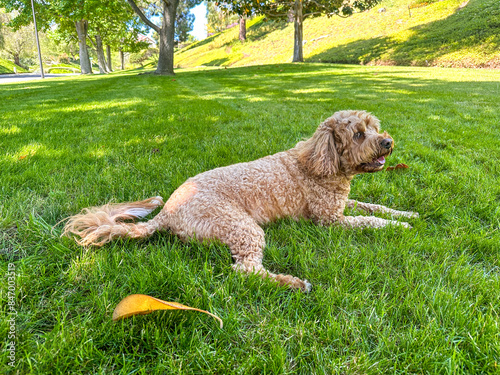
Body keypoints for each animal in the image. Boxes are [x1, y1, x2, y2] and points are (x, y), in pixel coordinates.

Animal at [64, 110, 420, 292]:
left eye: (374, 127)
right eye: (359, 134)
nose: (387, 142)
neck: (320, 162)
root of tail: (166, 213)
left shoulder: (342, 205)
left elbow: (373, 207)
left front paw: (407, 214)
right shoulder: (330, 221)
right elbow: (369, 220)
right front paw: (398, 227)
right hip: (240, 226)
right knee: (245, 271)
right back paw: (291, 283)